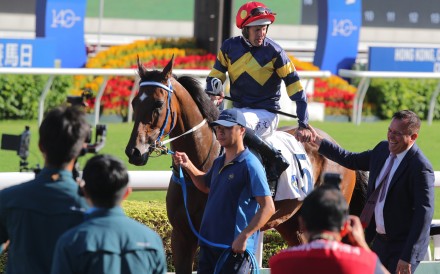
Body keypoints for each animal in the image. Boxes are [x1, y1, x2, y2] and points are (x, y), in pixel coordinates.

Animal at [124, 56, 368, 272]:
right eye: (135, 102)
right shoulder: (181, 235)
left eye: (157, 103)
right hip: (292, 224)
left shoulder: (219, 239)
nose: (134, 151)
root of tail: (335, 144)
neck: (204, 164)